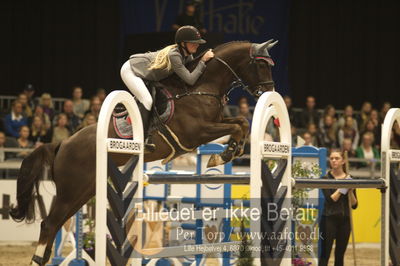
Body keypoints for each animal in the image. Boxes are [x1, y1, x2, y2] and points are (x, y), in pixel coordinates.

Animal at [10, 38, 278, 264]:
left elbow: (241, 122)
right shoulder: (197, 132)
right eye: (260, 65)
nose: (269, 92)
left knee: (55, 224)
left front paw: (230, 151)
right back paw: (37, 260)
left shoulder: (214, 123)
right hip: (71, 190)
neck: (201, 86)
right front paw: (223, 155)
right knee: (49, 224)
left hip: (84, 191)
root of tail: (63, 144)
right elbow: (237, 125)